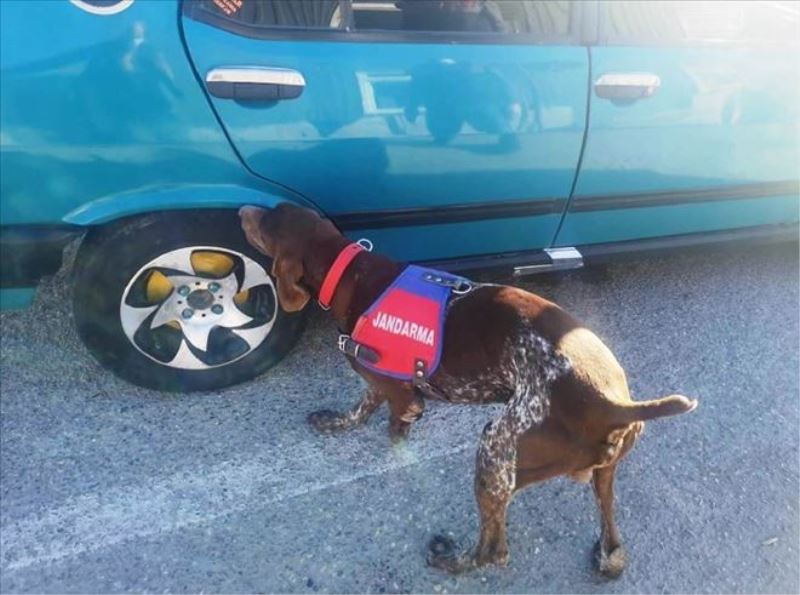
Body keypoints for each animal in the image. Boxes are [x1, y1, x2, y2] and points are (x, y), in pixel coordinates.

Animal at [239, 203, 697, 577]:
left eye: (265, 221)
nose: (241, 209)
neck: (349, 272)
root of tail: (615, 403)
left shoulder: (403, 395)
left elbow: (392, 418)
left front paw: (395, 443)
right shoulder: (380, 382)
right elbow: (361, 405)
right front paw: (337, 422)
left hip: (496, 448)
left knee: (494, 550)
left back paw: (451, 559)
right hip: (602, 471)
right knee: (613, 539)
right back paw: (607, 558)